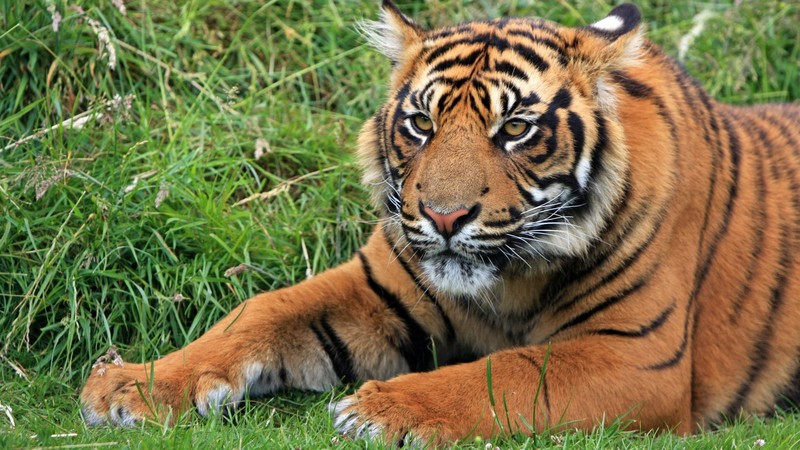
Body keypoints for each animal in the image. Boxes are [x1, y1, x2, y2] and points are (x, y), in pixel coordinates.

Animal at [80, 1, 800, 446]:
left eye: (515, 129)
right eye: (422, 123)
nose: (444, 215)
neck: (507, 281)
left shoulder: (638, 353)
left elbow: (511, 371)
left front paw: (383, 408)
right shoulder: (374, 287)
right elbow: (259, 312)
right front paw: (130, 385)